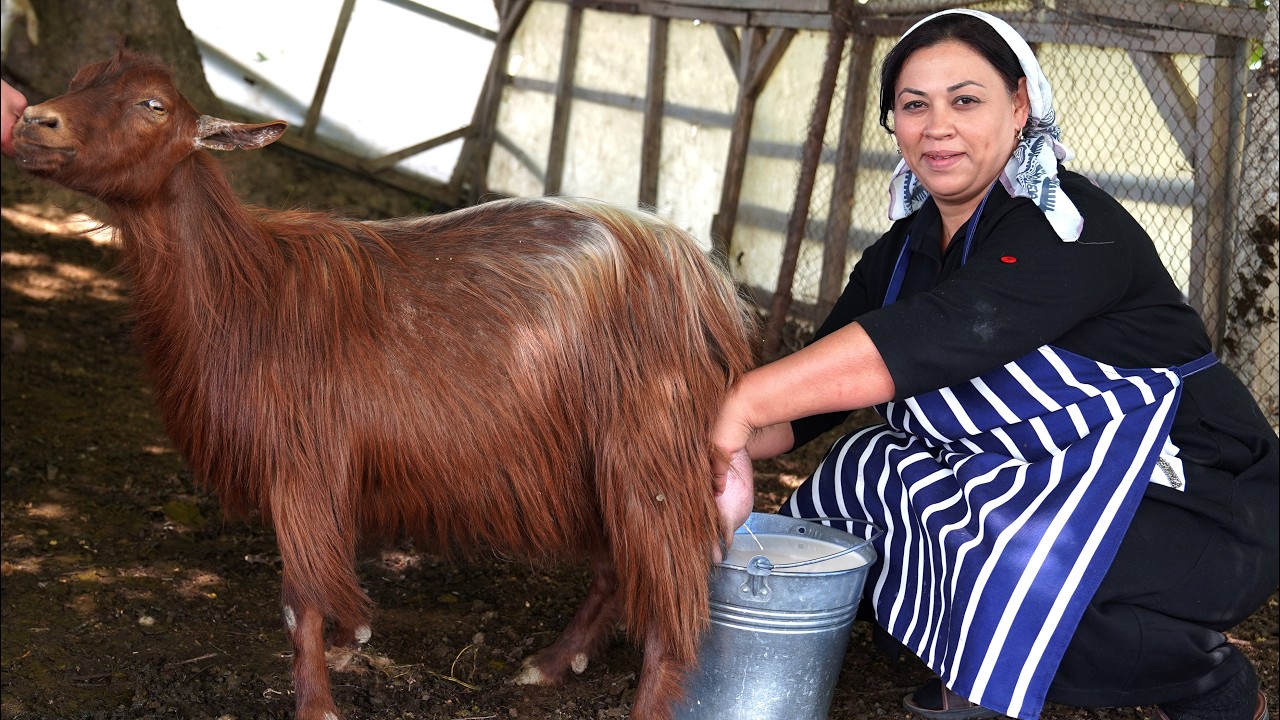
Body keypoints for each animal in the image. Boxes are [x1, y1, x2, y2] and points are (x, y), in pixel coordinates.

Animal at [12, 49, 758, 720]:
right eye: (80, 79)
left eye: (153, 105)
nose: (31, 121)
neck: (249, 291)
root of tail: (701, 275)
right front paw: (354, 639)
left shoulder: (301, 464)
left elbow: (300, 601)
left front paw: (319, 701)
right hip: (590, 457)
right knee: (615, 566)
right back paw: (550, 663)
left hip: (648, 440)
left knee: (672, 593)